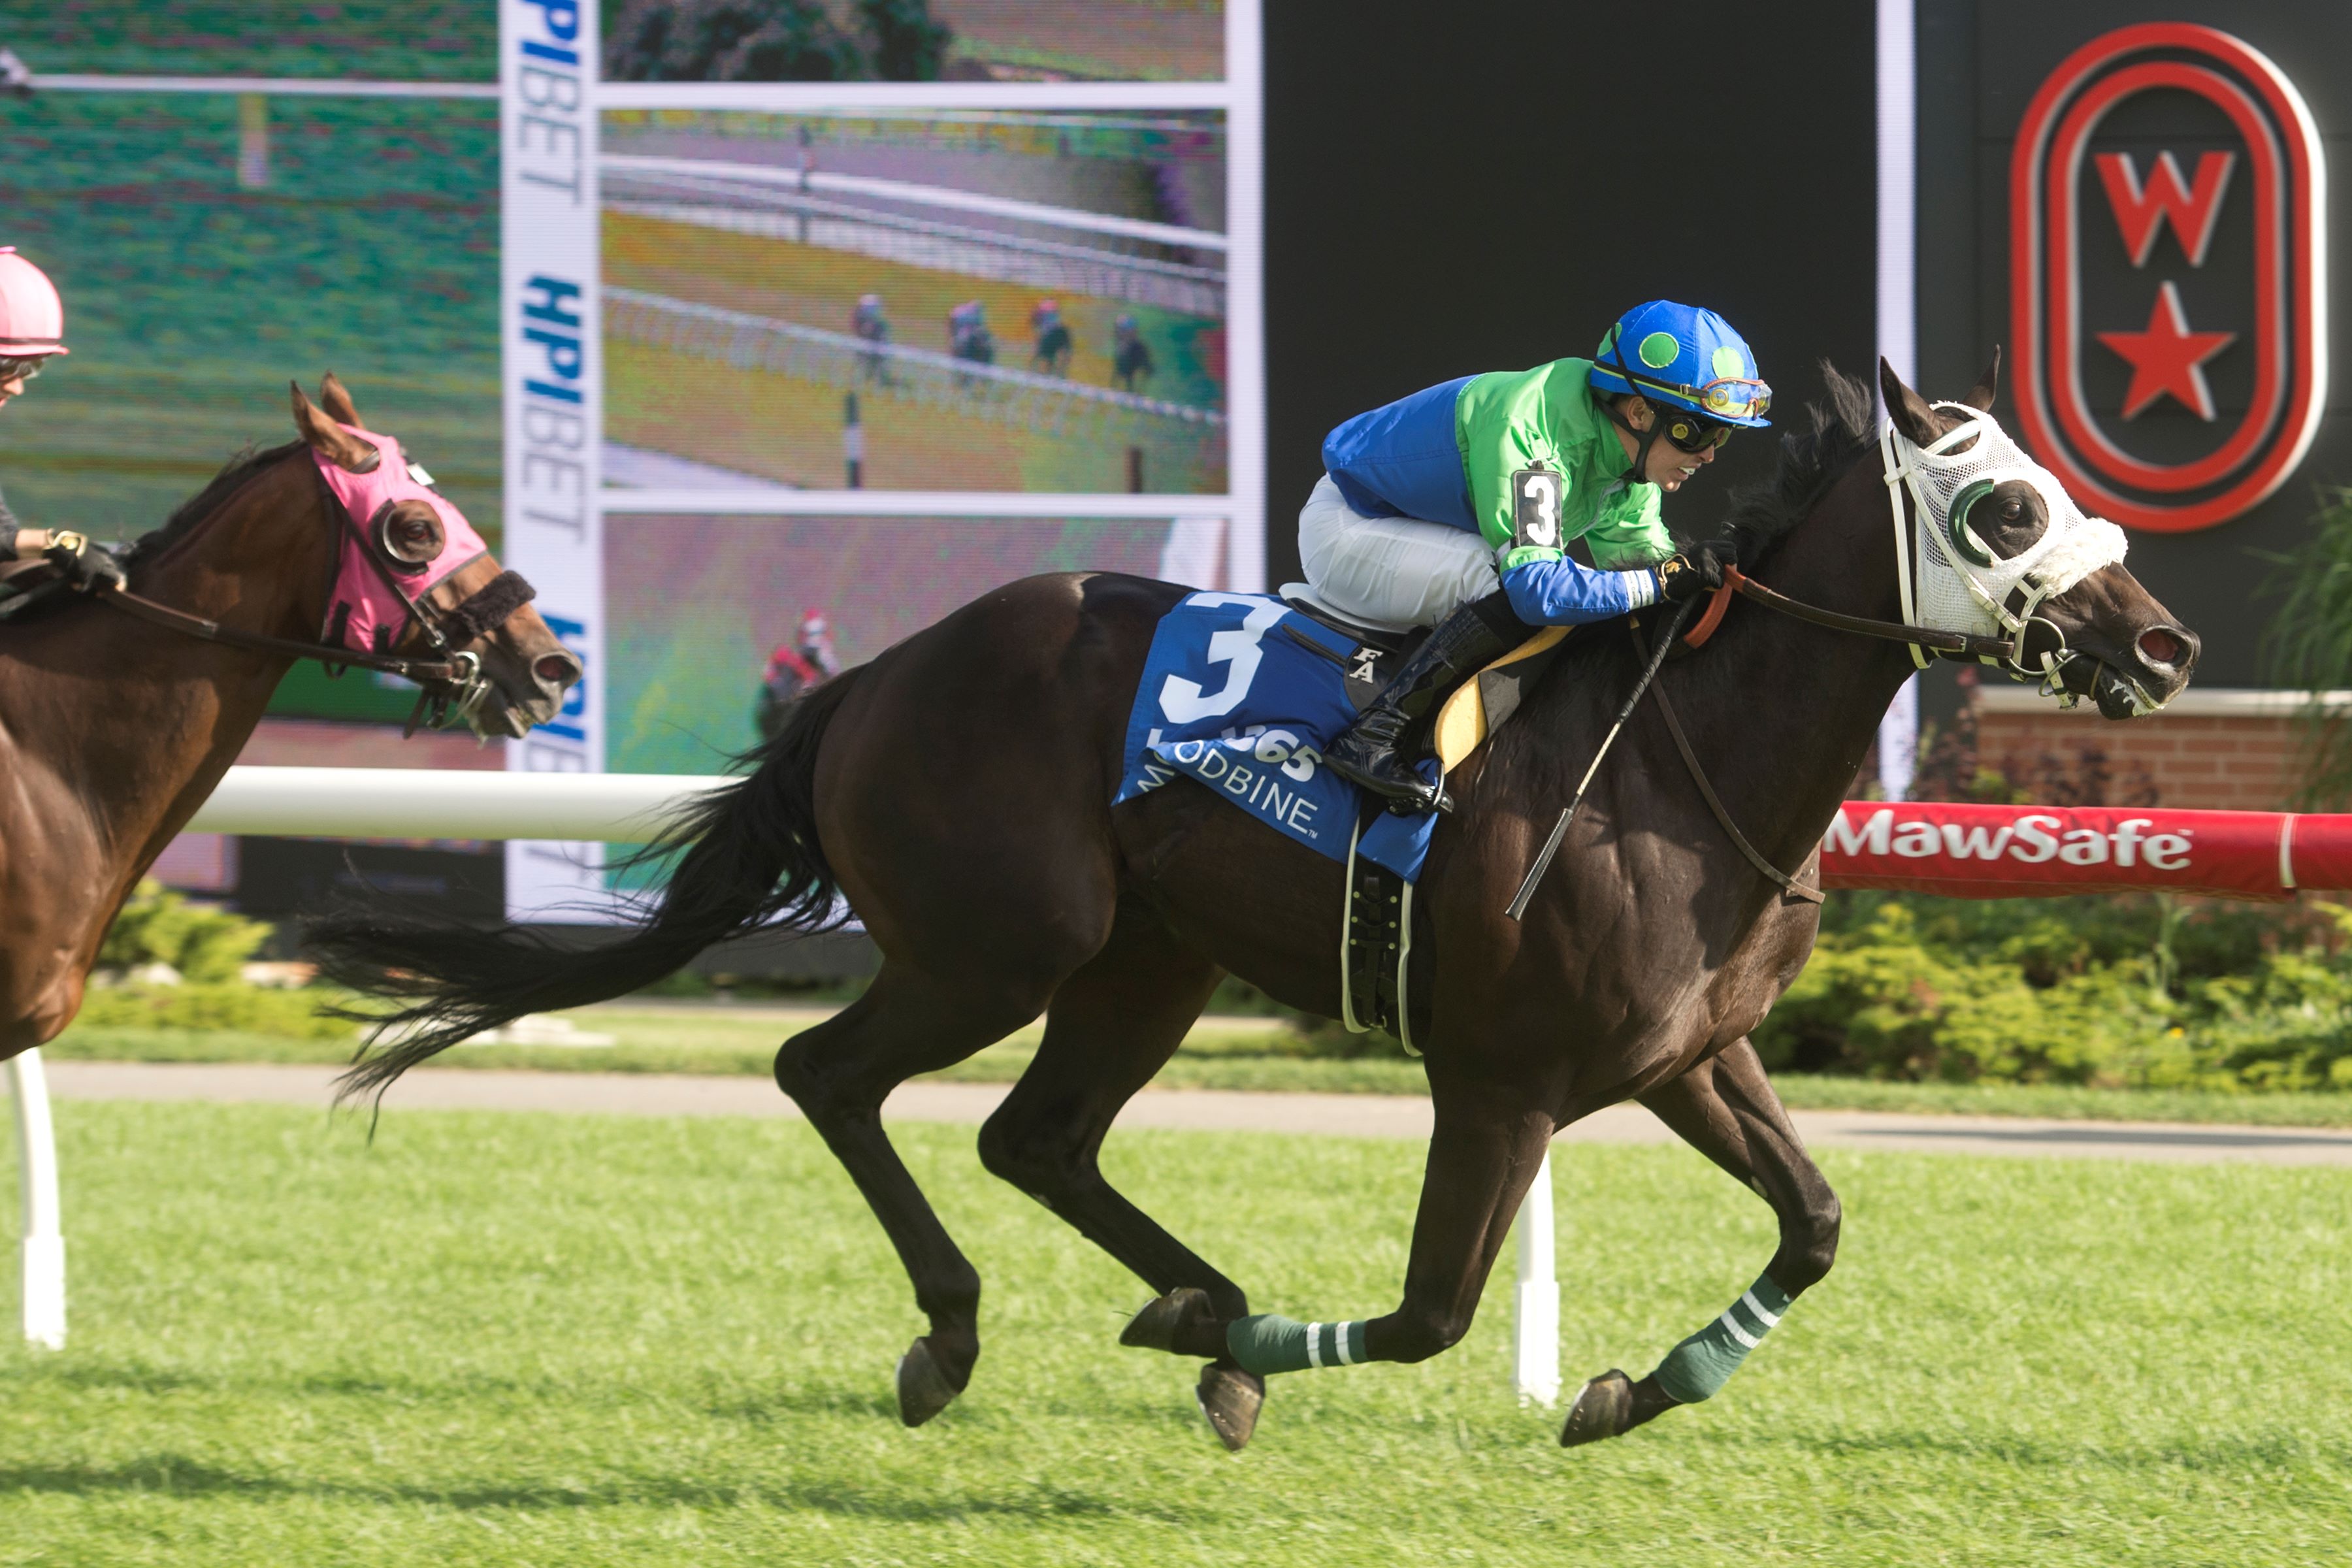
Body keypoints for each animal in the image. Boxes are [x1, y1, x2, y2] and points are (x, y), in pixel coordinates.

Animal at [303, 362, 2192, 1457]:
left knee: (1036, 1137)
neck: (1683, 758)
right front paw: (1266, 1357)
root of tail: (876, 675)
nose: (2165, 644)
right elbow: (1432, 1315)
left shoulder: (1685, 1055)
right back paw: (982, 1332)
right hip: (1002, 942)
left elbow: (1813, 1222)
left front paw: (1624, 1391)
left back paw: (1183, 1306)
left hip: (1145, 962)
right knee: (829, 1076)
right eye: (2002, 502)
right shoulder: (1498, 1081)